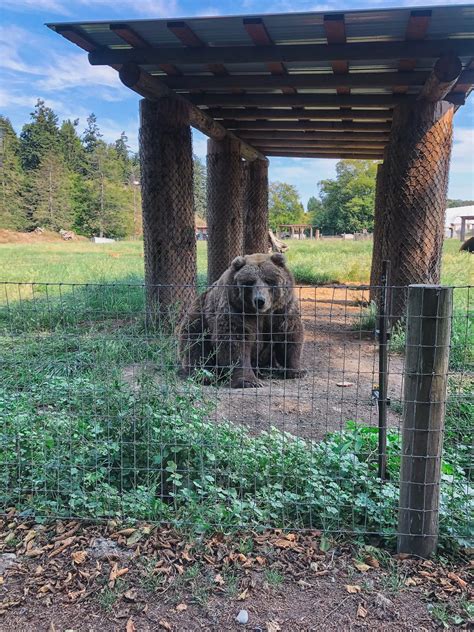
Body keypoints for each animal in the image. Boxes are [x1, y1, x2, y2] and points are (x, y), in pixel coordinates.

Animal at [177, 254, 304, 388]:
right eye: (250, 282)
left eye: (269, 280)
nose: (260, 300)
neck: (261, 313)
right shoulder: (236, 308)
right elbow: (235, 342)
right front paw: (249, 381)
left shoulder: (282, 310)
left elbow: (289, 335)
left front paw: (296, 371)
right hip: (198, 318)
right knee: (195, 345)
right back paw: (205, 375)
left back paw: (268, 370)